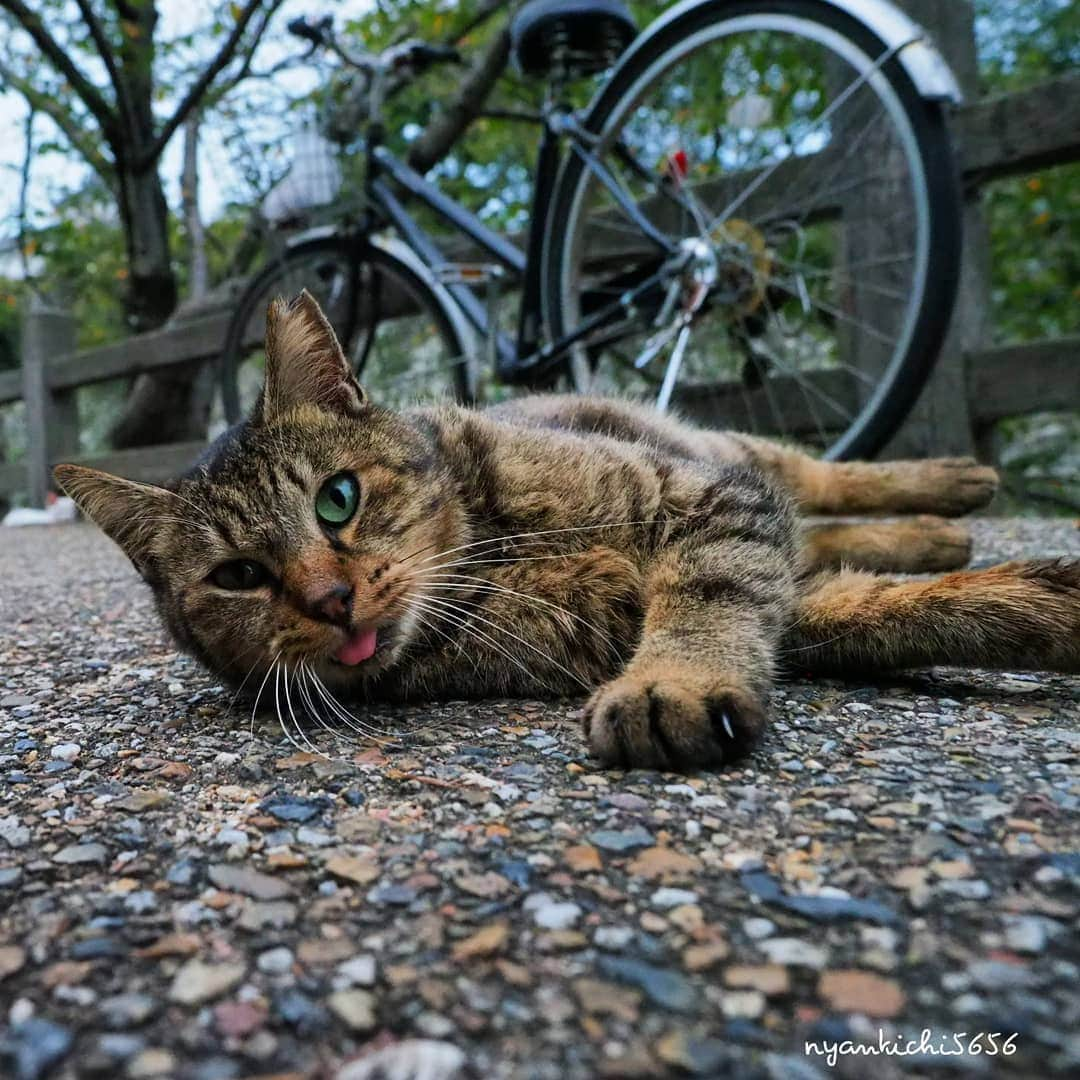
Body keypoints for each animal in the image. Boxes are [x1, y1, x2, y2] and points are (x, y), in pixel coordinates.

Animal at [56, 291, 1080, 773]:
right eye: (236, 577)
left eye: (336, 499)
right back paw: (933, 533)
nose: (330, 597)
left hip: (725, 450)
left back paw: (954, 482)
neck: (495, 559)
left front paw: (674, 682)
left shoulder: (701, 497)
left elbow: (718, 589)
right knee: (817, 536)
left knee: (818, 477)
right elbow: (879, 609)